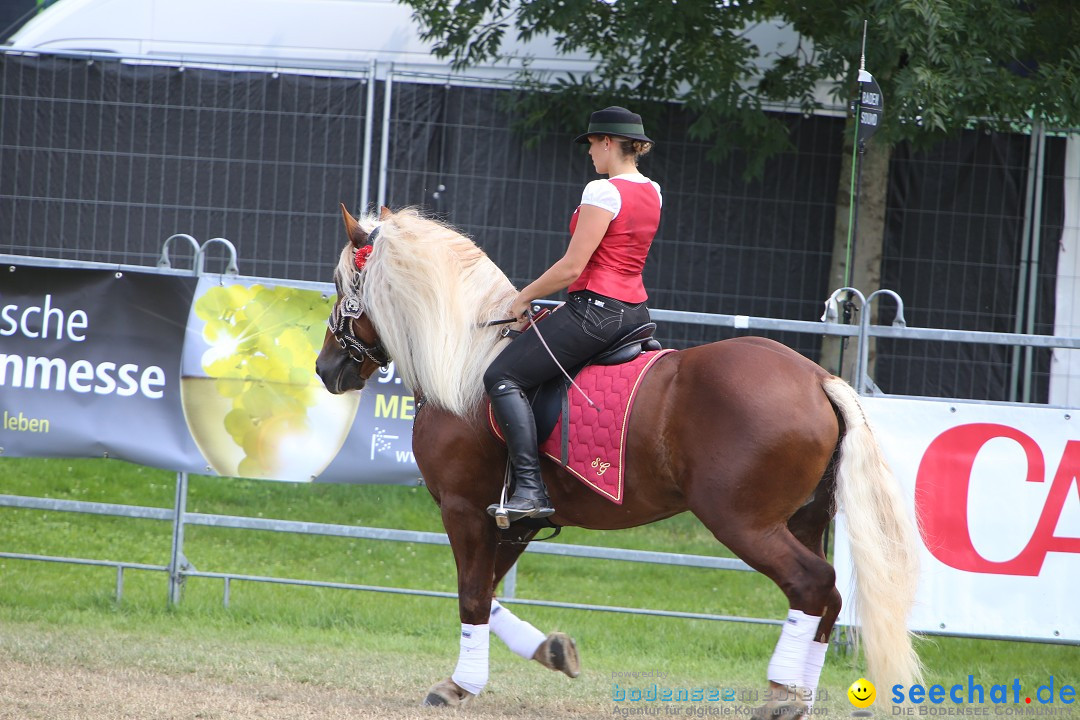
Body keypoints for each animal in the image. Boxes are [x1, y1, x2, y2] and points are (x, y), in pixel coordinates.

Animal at [315, 202, 924, 716]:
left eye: (342, 286)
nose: (325, 369)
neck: (465, 360)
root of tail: (818, 379)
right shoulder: (513, 524)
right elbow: (486, 593)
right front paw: (549, 652)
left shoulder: (463, 508)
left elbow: (471, 594)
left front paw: (458, 685)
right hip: (805, 520)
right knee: (830, 598)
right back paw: (801, 691)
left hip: (743, 522)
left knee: (812, 584)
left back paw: (782, 694)